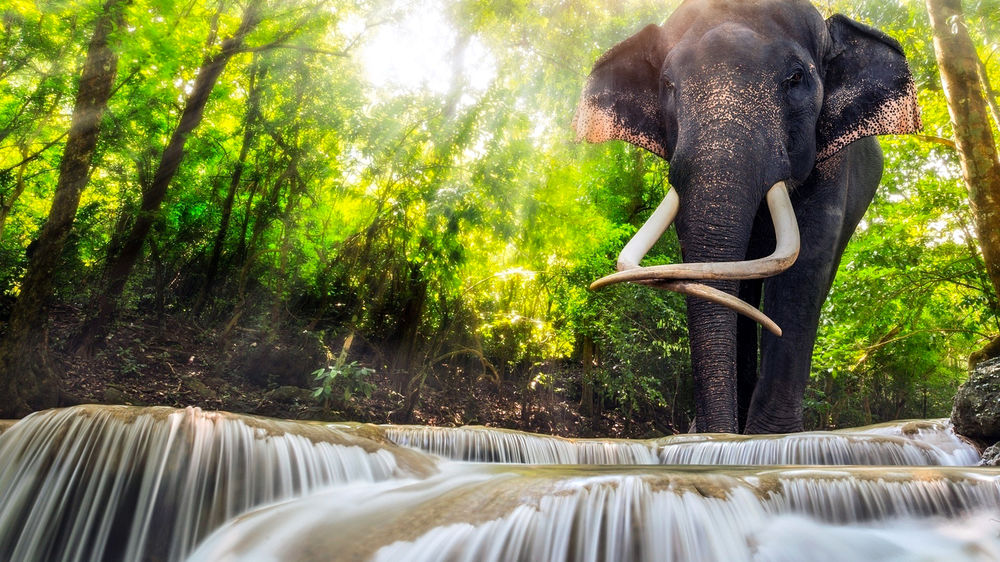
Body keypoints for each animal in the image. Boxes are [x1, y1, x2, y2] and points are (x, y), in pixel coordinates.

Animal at [573, 0, 920, 433]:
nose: (709, 433)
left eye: (796, 77)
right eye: (667, 84)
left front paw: (772, 438)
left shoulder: (832, 162)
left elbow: (805, 266)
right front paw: (711, 435)